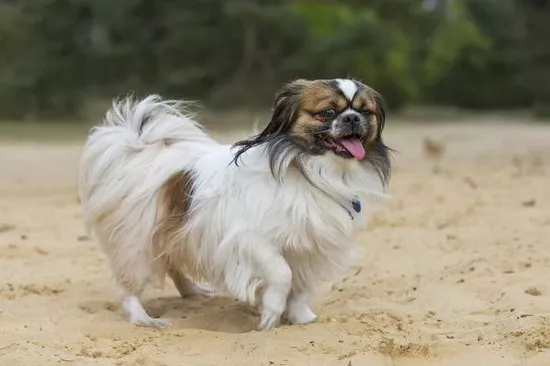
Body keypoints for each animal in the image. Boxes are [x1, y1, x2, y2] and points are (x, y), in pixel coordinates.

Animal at [77, 78, 392, 330]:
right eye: (327, 112)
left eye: (365, 111)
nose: (352, 118)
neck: (309, 171)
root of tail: (139, 147)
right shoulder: (252, 240)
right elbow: (282, 274)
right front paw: (270, 315)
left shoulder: (311, 247)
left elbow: (302, 286)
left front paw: (301, 317)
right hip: (137, 241)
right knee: (130, 286)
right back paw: (144, 319)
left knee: (173, 262)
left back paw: (192, 292)